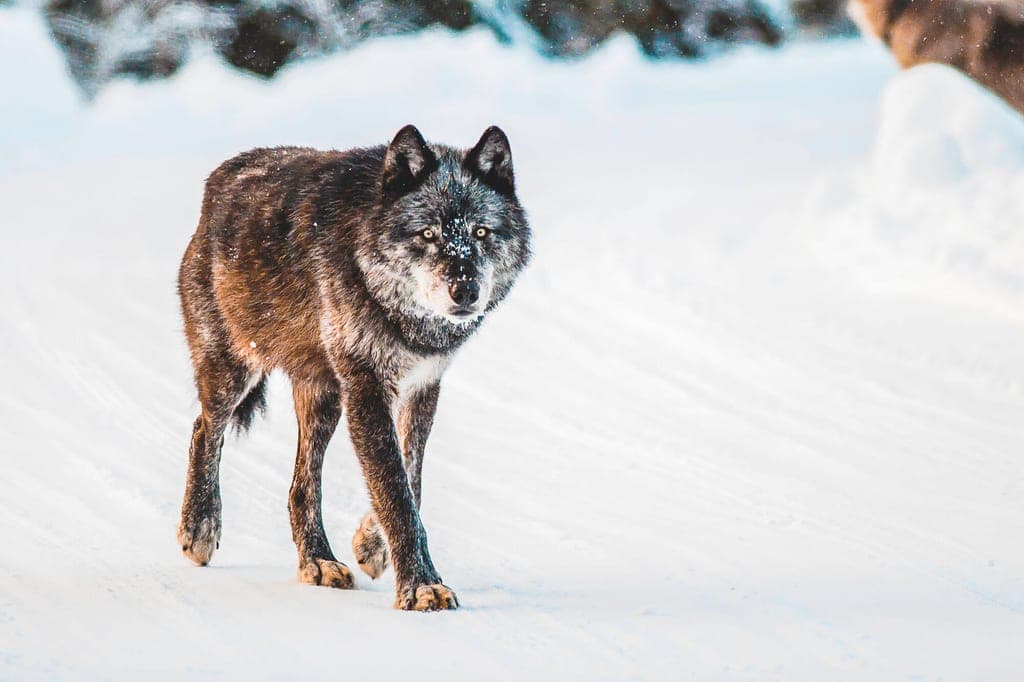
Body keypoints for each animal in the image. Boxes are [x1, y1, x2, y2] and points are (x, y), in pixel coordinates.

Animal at [176, 125, 531, 611]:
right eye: (427, 233)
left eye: (480, 231)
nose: (465, 290)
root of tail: (216, 184)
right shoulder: (366, 386)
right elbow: (396, 492)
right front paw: (421, 585)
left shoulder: (422, 385)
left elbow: (411, 477)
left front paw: (372, 544)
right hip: (235, 368)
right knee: (204, 428)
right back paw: (200, 527)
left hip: (324, 399)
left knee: (301, 486)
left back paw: (318, 561)